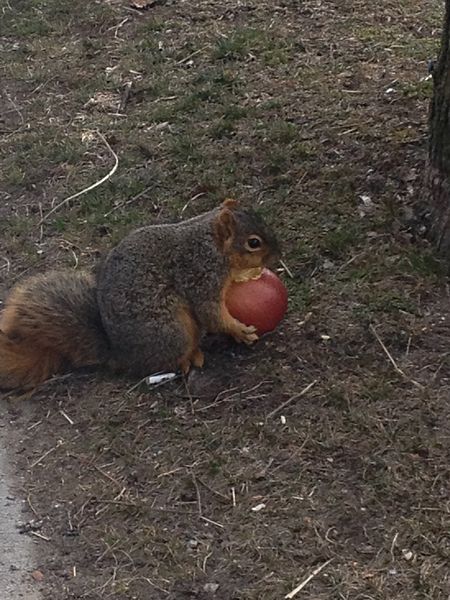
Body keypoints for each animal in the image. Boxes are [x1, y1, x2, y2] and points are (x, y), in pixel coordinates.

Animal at [0, 199, 282, 392]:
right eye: (253, 242)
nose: (277, 255)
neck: (211, 246)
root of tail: (120, 355)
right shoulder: (201, 276)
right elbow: (212, 315)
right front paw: (239, 330)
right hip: (171, 330)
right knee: (167, 359)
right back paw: (190, 358)